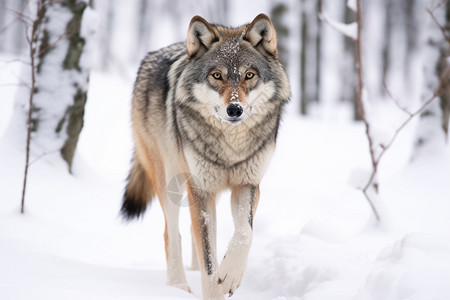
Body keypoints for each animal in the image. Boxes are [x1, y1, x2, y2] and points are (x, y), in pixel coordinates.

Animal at [120, 12, 288, 298]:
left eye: (249, 75)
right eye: (217, 75)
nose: (235, 109)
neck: (231, 145)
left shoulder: (247, 184)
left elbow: (244, 233)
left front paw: (229, 274)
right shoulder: (199, 188)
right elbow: (209, 262)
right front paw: (215, 287)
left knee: (198, 231)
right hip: (171, 183)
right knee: (172, 234)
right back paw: (178, 285)